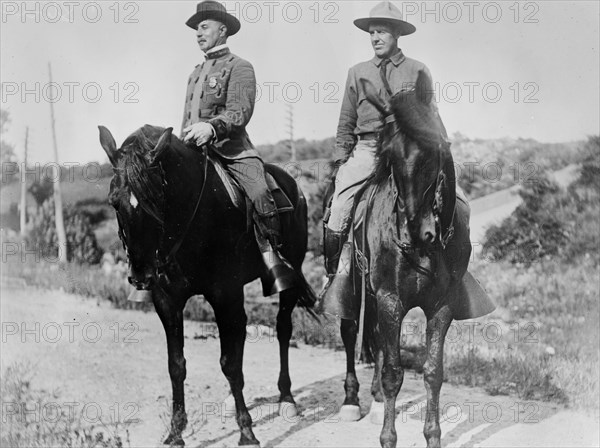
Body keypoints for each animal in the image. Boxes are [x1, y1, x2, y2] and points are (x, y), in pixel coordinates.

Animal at [97, 124, 318, 446]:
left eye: (157, 200)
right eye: (114, 201)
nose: (141, 276)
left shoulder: (226, 295)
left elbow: (230, 364)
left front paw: (246, 431)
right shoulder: (168, 302)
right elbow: (176, 365)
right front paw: (176, 431)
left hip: (290, 277)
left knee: (282, 330)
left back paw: (286, 398)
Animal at [336, 71, 494, 448]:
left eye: (432, 151)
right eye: (389, 155)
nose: (416, 232)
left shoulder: (441, 305)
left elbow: (433, 372)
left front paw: (432, 436)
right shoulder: (391, 299)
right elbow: (395, 373)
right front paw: (388, 437)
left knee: (377, 339)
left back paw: (376, 399)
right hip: (355, 288)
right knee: (351, 332)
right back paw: (352, 401)